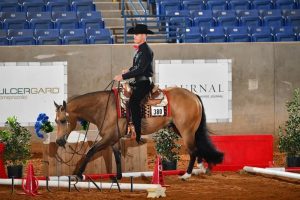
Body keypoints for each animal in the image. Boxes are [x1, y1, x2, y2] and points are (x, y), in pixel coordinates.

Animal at [54, 83, 224, 180]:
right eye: (55, 121)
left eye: (62, 120)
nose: (59, 141)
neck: (105, 107)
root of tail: (193, 95)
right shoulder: (113, 139)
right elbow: (117, 156)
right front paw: (118, 176)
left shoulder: (108, 137)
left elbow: (90, 151)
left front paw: (79, 174)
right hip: (181, 128)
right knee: (198, 147)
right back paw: (202, 168)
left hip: (186, 130)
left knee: (193, 150)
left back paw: (187, 175)